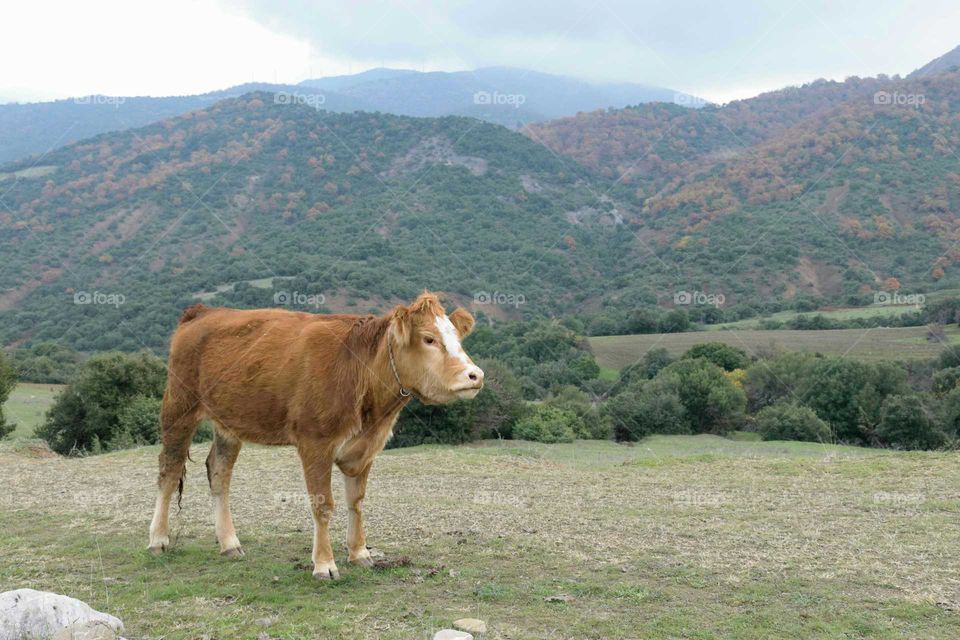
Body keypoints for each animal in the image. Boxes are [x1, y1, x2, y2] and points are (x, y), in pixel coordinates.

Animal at [147, 291, 484, 579]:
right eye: (429, 339)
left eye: (457, 338)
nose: (475, 375)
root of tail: (204, 312)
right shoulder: (315, 443)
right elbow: (323, 504)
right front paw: (324, 564)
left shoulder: (365, 448)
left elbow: (356, 501)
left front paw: (360, 553)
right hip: (178, 408)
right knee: (169, 471)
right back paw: (158, 540)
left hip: (227, 422)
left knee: (219, 473)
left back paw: (229, 543)